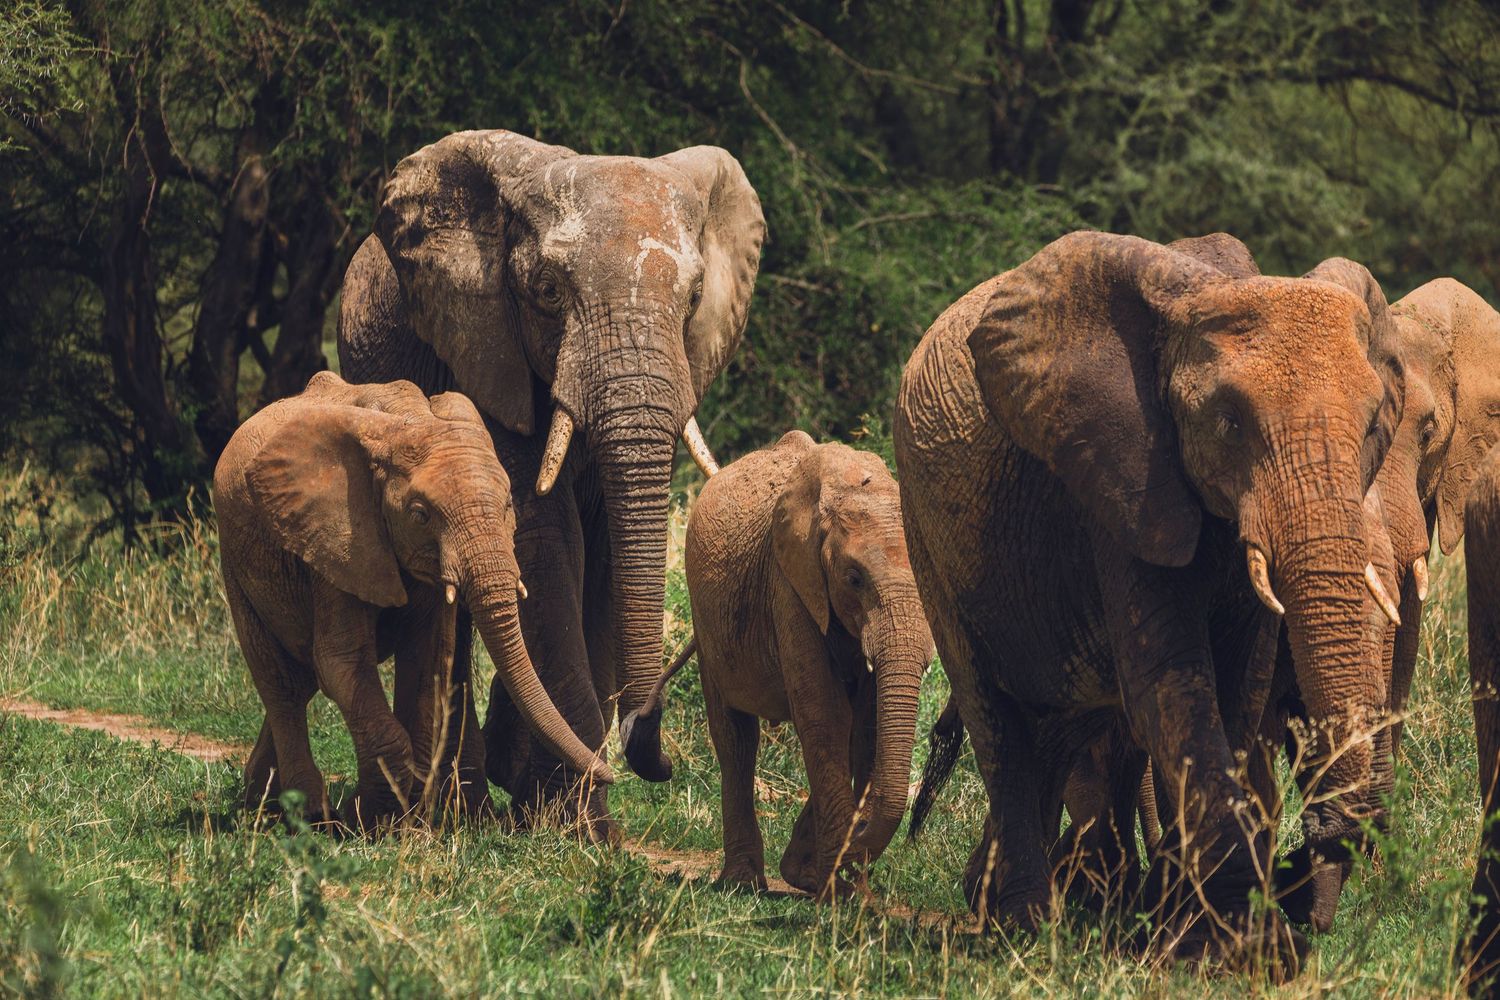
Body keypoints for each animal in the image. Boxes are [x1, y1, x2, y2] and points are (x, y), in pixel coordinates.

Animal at [214, 371, 613, 830]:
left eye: (508, 503)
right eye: (420, 515)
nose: (610, 774)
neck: (406, 421)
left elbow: (428, 659)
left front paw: (411, 818)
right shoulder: (338, 539)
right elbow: (341, 663)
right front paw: (382, 817)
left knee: (301, 677)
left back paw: (259, 802)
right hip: (235, 562)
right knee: (281, 683)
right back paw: (306, 816)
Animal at [337, 129, 764, 837]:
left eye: (694, 296)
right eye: (546, 291)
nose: (658, 758)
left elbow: (608, 555)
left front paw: (568, 819)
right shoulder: (482, 349)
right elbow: (541, 535)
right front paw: (582, 827)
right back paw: (466, 806)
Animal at [633, 431, 934, 897]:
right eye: (853, 579)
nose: (859, 832)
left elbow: (865, 727)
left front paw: (838, 888)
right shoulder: (790, 584)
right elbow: (825, 715)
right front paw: (841, 894)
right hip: (707, 621)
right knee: (735, 738)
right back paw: (743, 884)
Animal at [893, 230, 1406, 976]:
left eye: (1372, 426)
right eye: (1229, 422)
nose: (1309, 841)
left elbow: (1238, 691)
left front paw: (1200, 934)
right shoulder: (1122, 480)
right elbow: (1173, 686)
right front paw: (1239, 949)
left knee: (1059, 724)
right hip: (926, 534)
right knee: (996, 715)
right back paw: (1025, 928)